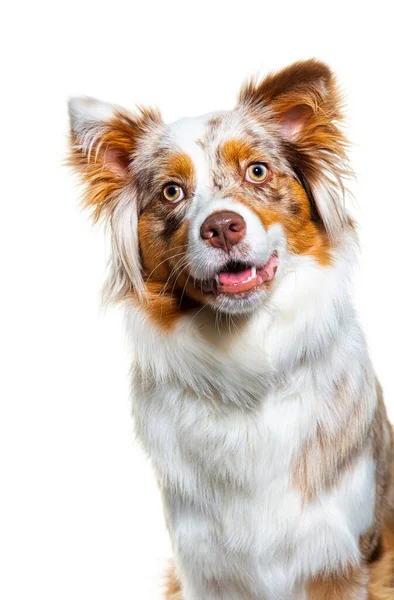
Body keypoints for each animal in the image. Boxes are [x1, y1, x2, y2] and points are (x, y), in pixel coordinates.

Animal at [67, 59, 394, 600]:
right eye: (171, 191)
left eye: (256, 171)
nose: (221, 226)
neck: (246, 363)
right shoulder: (203, 564)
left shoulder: (339, 554)